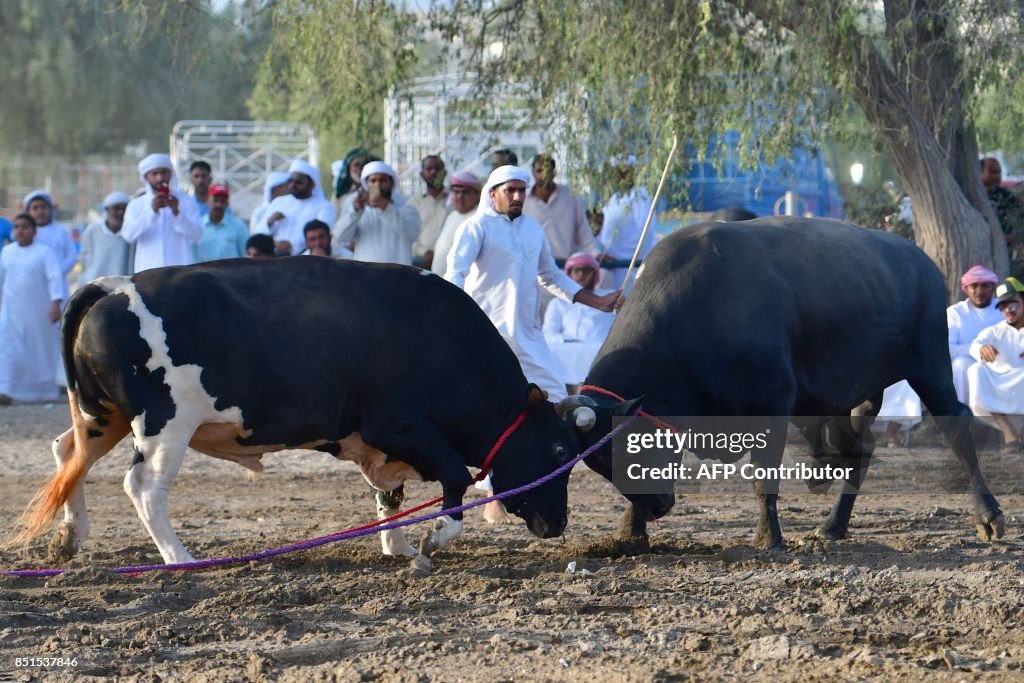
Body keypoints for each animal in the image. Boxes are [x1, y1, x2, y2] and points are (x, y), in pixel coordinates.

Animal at [16, 258, 593, 565]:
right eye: (558, 449)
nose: (558, 524)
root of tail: (112, 285)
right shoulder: (399, 425)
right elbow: (453, 477)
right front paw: (433, 538)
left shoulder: (381, 443)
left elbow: (389, 494)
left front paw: (397, 545)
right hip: (164, 425)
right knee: (142, 487)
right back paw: (180, 558)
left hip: (101, 417)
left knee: (68, 456)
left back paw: (70, 537)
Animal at [557, 219, 1003, 548]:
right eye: (601, 461)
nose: (656, 508)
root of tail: (918, 258)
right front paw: (629, 529)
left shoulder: (771, 406)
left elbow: (763, 478)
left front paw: (768, 537)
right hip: (857, 393)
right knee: (859, 448)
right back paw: (833, 524)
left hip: (930, 364)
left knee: (955, 428)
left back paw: (989, 514)